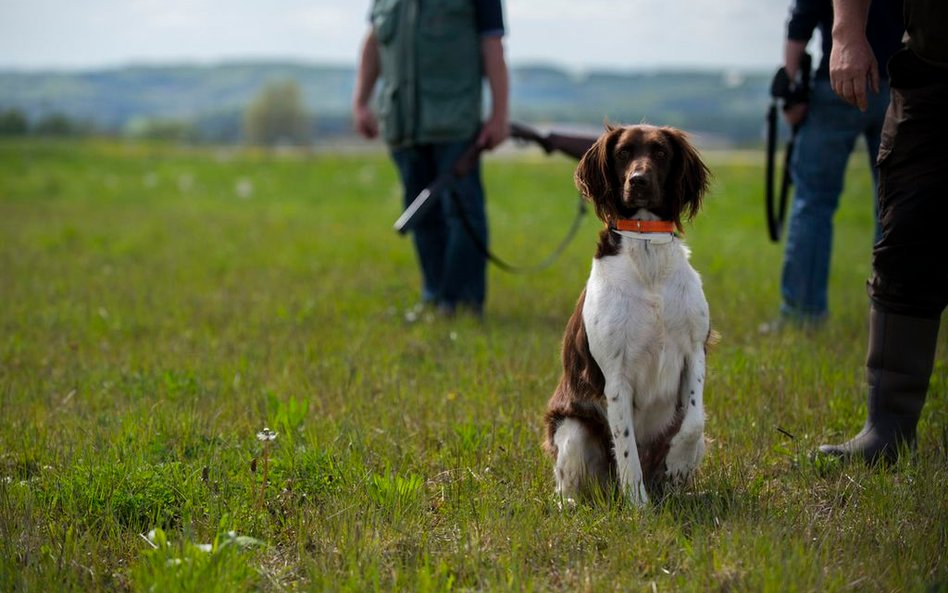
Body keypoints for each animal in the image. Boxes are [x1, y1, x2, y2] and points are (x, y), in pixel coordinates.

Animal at [540, 123, 712, 504]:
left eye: (660, 152)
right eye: (622, 153)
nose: (639, 180)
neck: (648, 256)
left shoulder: (694, 351)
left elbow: (694, 421)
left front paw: (678, 461)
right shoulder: (615, 377)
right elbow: (627, 453)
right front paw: (639, 508)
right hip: (572, 427)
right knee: (569, 483)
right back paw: (572, 503)